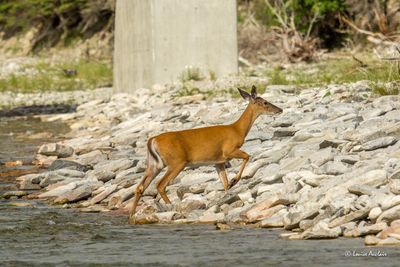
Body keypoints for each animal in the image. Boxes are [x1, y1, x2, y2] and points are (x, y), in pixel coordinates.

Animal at [130, 86, 282, 224]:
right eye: (265, 102)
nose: (280, 110)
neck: (237, 130)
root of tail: (153, 140)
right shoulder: (229, 150)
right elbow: (247, 156)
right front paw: (234, 181)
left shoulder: (218, 162)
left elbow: (224, 182)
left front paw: (228, 191)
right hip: (177, 162)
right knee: (160, 184)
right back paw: (171, 207)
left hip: (155, 164)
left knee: (140, 187)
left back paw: (132, 215)